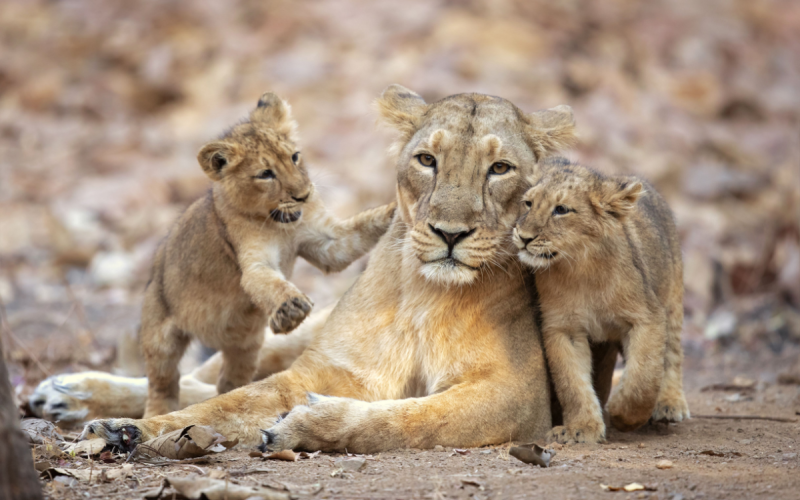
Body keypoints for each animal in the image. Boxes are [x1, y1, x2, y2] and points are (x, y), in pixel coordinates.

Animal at [135, 92, 396, 417]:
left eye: (294, 156)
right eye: (265, 174)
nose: (304, 195)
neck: (280, 226)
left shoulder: (326, 242)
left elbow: (357, 232)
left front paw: (398, 210)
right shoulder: (253, 262)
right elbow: (270, 283)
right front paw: (291, 310)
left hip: (245, 345)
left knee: (228, 380)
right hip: (161, 332)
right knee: (162, 381)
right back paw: (158, 412)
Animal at [513, 158, 690, 444]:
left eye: (561, 210)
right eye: (528, 203)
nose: (524, 237)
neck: (579, 270)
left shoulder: (647, 316)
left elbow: (644, 375)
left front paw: (622, 414)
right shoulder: (563, 328)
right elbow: (572, 384)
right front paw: (581, 428)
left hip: (672, 300)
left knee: (672, 354)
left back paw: (669, 404)